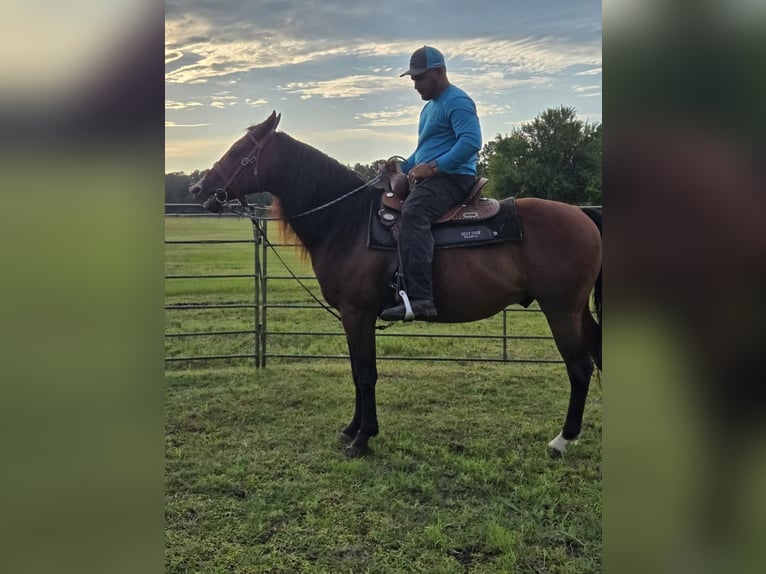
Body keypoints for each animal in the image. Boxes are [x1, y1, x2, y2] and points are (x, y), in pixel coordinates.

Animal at [190, 111, 602, 458]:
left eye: (240, 151)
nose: (198, 189)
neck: (348, 222)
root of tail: (581, 213)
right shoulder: (353, 317)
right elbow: (357, 373)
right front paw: (352, 428)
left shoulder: (357, 313)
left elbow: (366, 373)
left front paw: (362, 440)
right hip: (577, 311)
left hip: (561, 310)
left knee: (580, 367)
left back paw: (562, 439)